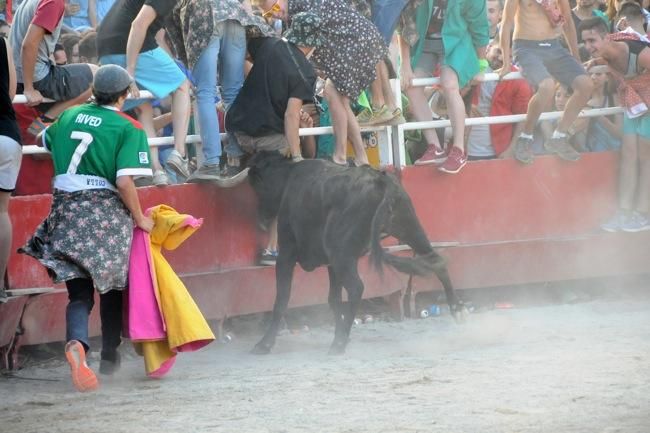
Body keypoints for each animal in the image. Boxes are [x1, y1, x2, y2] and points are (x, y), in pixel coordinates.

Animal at [246, 153, 464, 354]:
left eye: (258, 186)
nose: (262, 219)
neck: (290, 179)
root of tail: (380, 180)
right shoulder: (331, 264)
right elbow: (333, 299)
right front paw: (340, 332)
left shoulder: (287, 253)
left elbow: (282, 299)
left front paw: (264, 344)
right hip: (409, 228)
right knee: (436, 261)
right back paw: (457, 309)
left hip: (342, 253)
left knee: (356, 287)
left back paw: (339, 344)